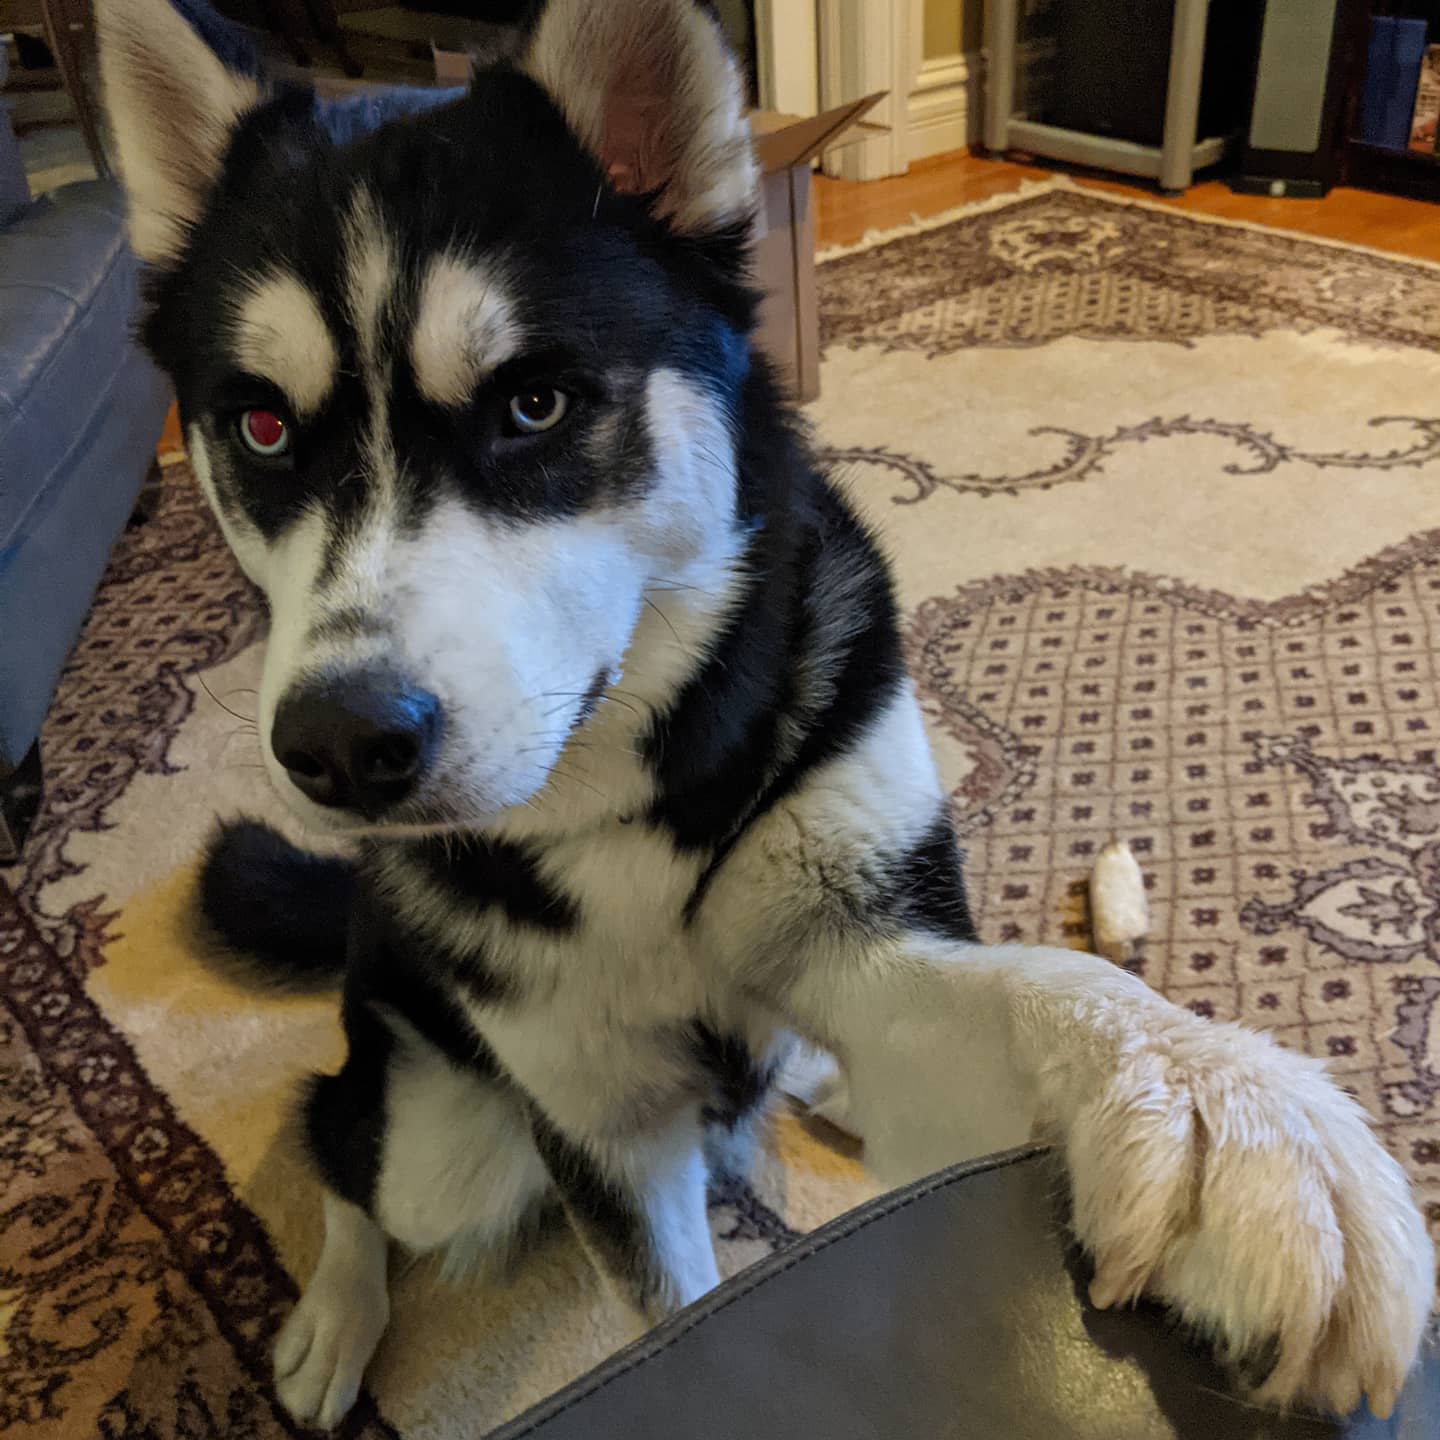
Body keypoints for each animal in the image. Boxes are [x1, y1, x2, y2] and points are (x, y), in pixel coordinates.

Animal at [95, 0, 1434, 1422]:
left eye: (535, 402)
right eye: (259, 428)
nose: (343, 745)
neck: (643, 801)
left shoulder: (862, 933)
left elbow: (1050, 986)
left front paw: (1224, 1111)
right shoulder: (595, 1117)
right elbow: (677, 1307)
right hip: (443, 1134)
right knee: (339, 1135)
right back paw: (336, 1313)